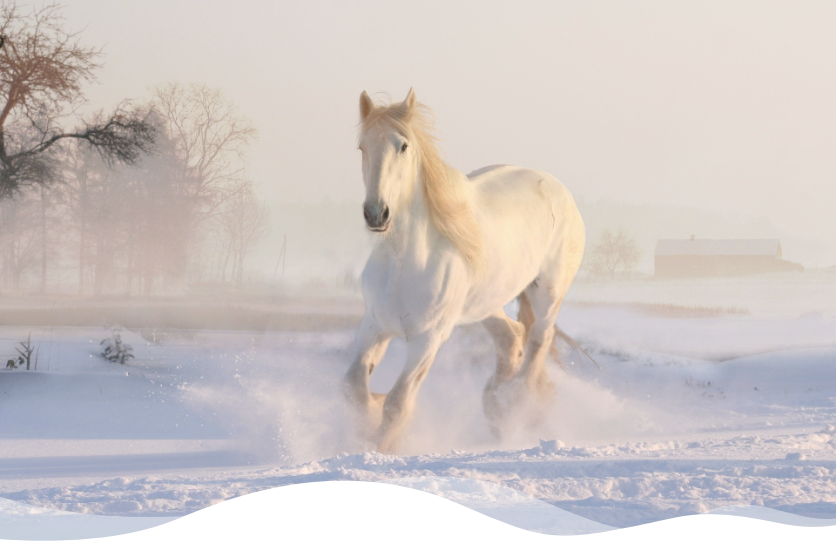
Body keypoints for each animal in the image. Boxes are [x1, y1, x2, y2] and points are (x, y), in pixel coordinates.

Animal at [342, 88, 584, 456]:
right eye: (361, 147)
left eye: (403, 146)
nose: (376, 213)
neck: (404, 262)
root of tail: (559, 189)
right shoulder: (375, 324)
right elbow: (354, 388)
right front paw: (368, 421)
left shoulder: (428, 339)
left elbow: (397, 402)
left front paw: (381, 446)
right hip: (484, 303)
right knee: (511, 337)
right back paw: (496, 407)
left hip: (548, 293)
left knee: (538, 341)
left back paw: (514, 405)